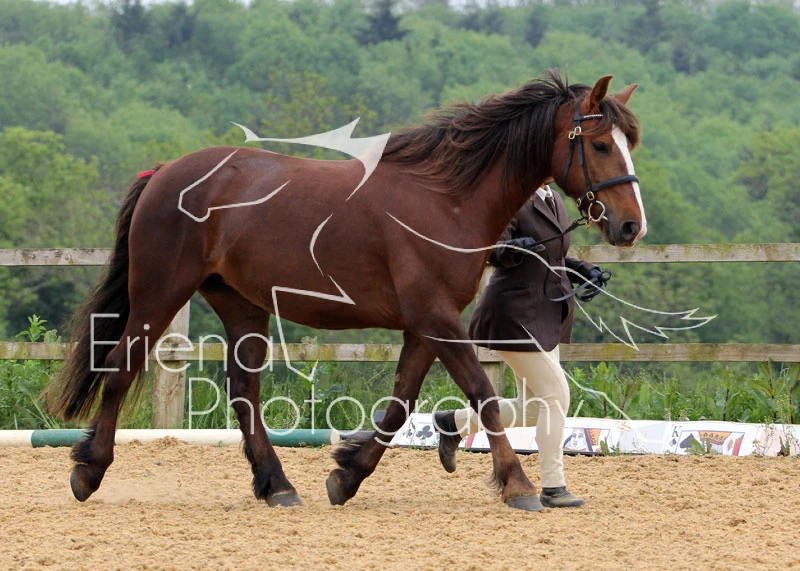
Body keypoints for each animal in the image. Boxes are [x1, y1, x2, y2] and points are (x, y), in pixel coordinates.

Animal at [47, 71, 645, 512]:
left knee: (243, 392)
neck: (447, 198)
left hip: (241, 306)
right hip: (160, 294)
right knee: (121, 369)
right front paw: (518, 486)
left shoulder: (425, 325)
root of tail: (167, 171)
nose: (630, 226)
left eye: (626, 143)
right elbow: (482, 394)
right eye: (599, 144)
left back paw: (278, 486)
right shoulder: (437, 318)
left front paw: (348, 476)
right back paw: (89, 471)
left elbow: (401, 405)